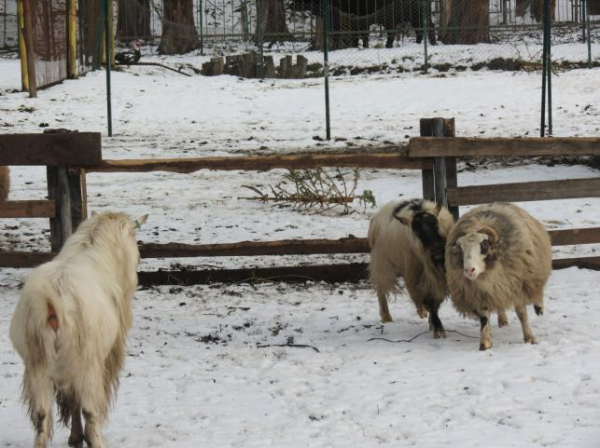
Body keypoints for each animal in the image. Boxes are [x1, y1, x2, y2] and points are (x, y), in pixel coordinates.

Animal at [9, 211, 148, 448]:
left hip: (38, 364)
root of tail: (52, 301)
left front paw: (75, 437)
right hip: (86, 364)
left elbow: (70, 402)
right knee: (90, 411)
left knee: (41, 416)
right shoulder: (105, 357)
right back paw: (98, 441)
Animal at [370, 198, 454, 338]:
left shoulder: (438, 276)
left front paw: (433, 323)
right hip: (382, 264)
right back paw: (386, 316)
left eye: (435, 224)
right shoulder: (418, 273)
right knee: (381, 289)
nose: (436, 250)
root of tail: (375, 218)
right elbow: (430, 300)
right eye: (417, 232)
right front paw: (438, 329)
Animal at [448, 201, 552, 352]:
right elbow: (484, 318)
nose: (469, 270)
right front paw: (485, 342)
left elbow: (522, 314)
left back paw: (539, 308)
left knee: (538, 289)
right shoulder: (481, 292)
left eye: (484, 245)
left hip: (535, 269)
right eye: (460, 248)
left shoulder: (518, 285)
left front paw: (530, 338)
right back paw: (502, 320)